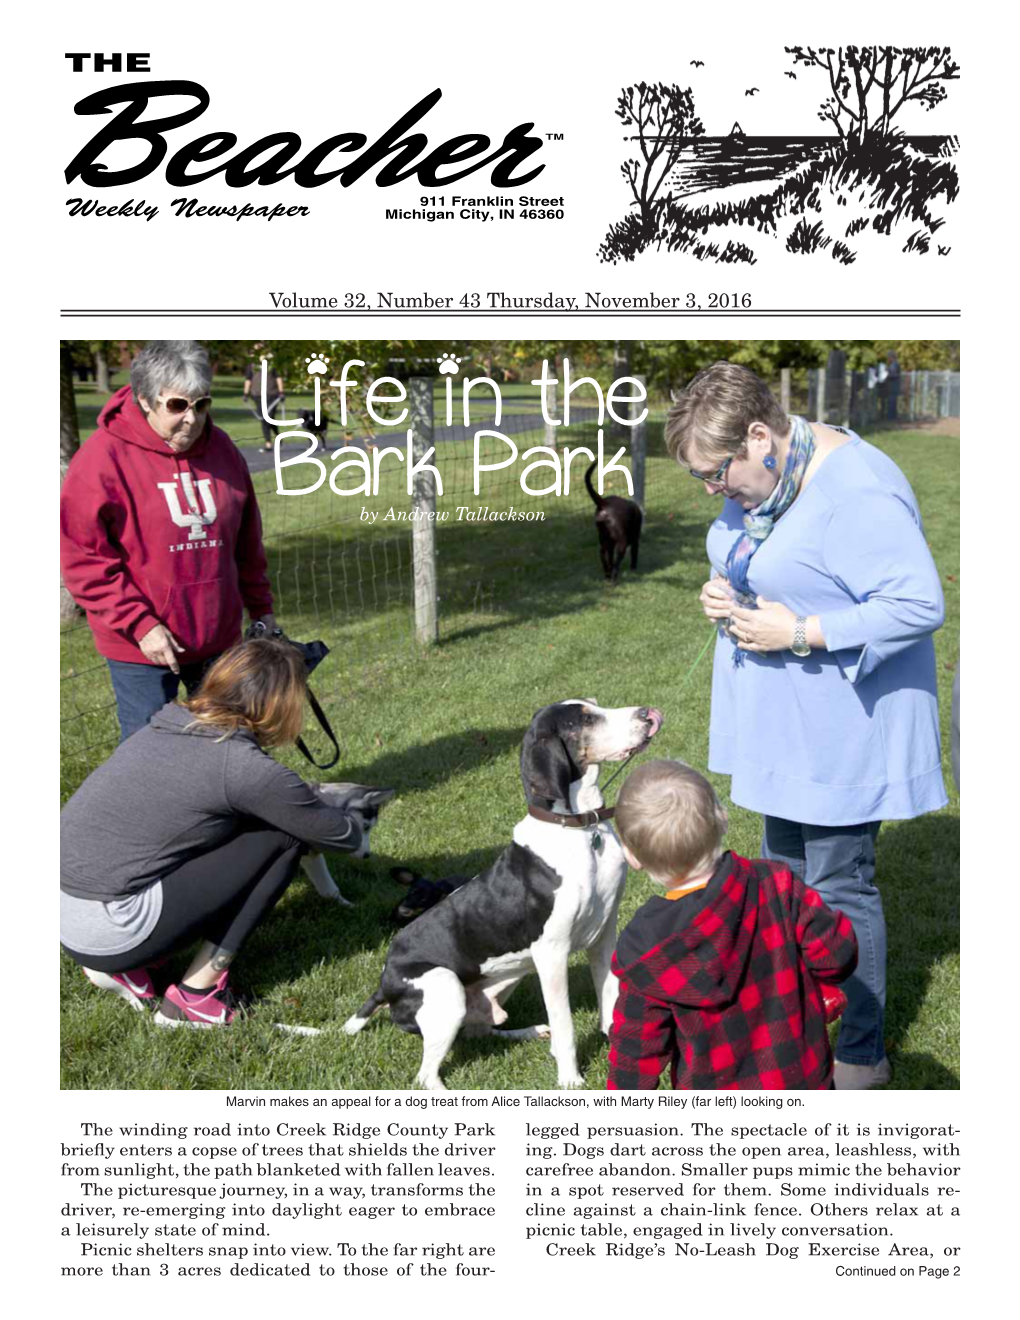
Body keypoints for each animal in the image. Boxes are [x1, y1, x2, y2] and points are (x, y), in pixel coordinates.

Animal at [343, 707, 659, 1087]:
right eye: (584, 719)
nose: (646, 713)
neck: (583, 830)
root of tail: (384, 981)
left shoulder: (604, 935)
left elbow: (609, 1000)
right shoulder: (552, 954)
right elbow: (566, 1026)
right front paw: (570, 1081)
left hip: (505, 978)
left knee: (481, 1029)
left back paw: (527, 1031)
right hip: (447, 988)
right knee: (425, 1076)